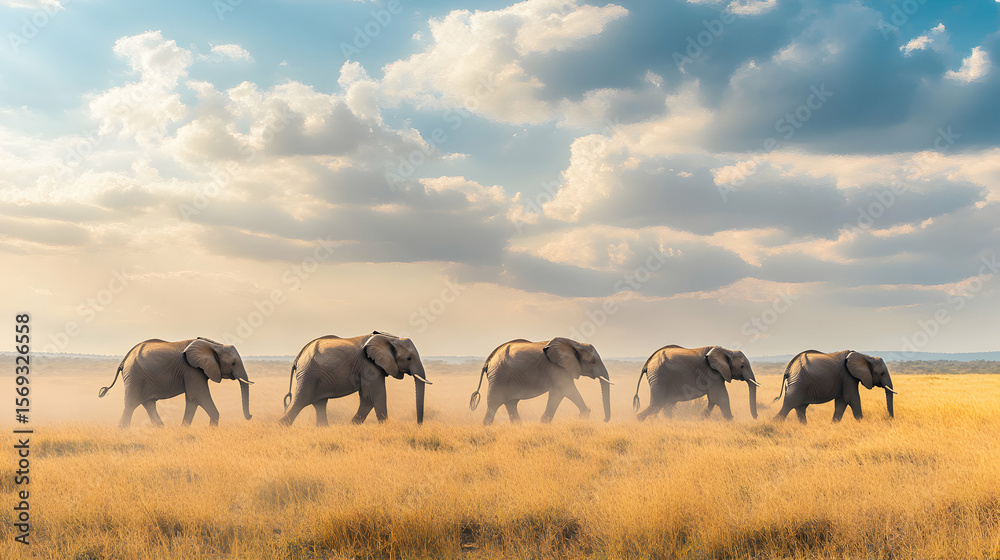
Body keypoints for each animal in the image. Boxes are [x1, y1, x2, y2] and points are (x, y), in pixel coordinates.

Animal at [98, 337, 253, 428]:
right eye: (233, 363)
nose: (250, 416)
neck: (214, 345)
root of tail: (124, 360)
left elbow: (192, 399)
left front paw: (184, 429)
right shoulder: (192, 370)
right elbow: (199, 396)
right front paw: (211, 430)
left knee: (149, 404)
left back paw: (161, 429)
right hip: (135, 377)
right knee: (131, 404)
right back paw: (123, 431)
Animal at [279, 332, 431, 426]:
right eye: (409, 358)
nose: (418, 425)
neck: (390, 338)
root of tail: (297, 358)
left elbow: (367, 398)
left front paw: (352, 426)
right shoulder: (369, 366)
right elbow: (377, 395)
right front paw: (386, 426)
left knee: (320, 404)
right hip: (309, 375)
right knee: (301, 401)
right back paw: (282, 426)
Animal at [469, 337, 613, 425]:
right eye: (593, 362)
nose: (604, 420)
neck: (575, 343)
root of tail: (488, 360)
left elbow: (559, 393)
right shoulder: (557, 368)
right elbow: (565, 391)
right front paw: (584, 415)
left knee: (511, 403)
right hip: (499, 378)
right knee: (494, 403)